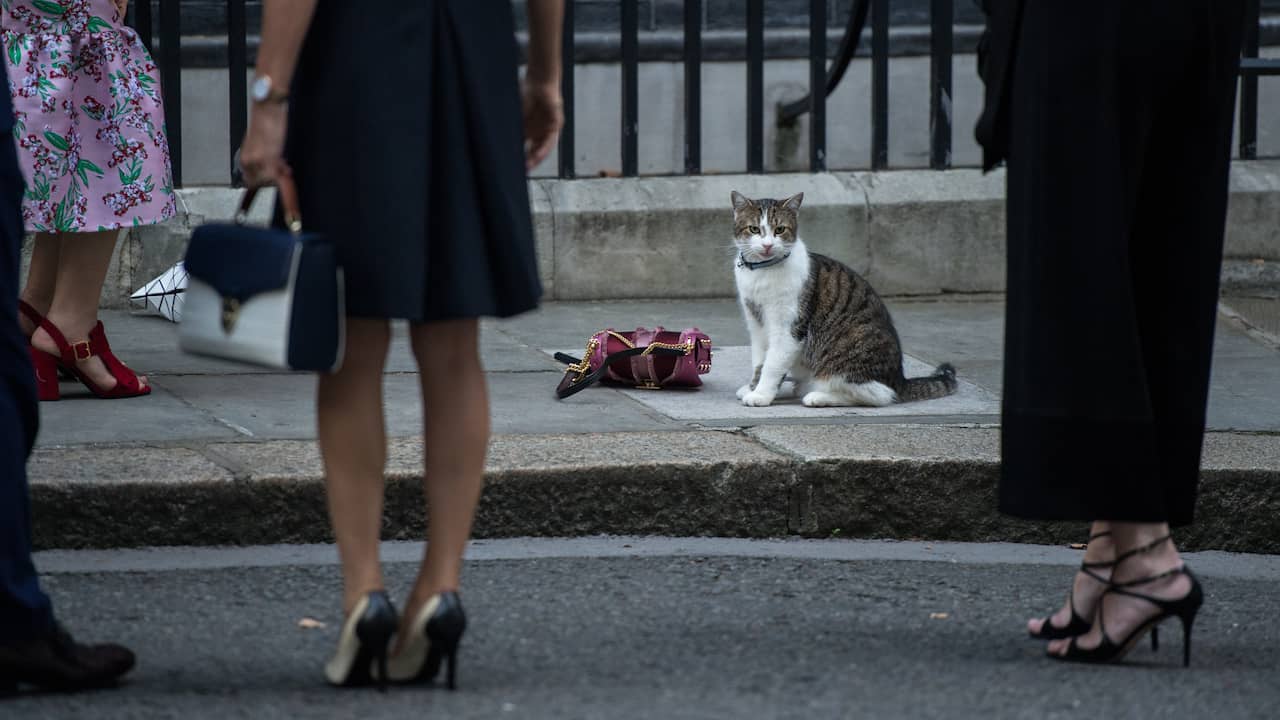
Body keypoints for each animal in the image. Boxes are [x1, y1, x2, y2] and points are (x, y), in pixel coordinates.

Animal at [732, 188, 962, 407]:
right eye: (754, 229)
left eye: (779, 230)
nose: (767, 245)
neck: (761, 271)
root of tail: (900, 380)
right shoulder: (757, 325)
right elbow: (759, 361)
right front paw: (752, 388)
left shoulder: (788, 328)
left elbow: (772, 365)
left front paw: (761, 395)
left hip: (846, 353)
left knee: (879, 394)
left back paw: (818, 396)